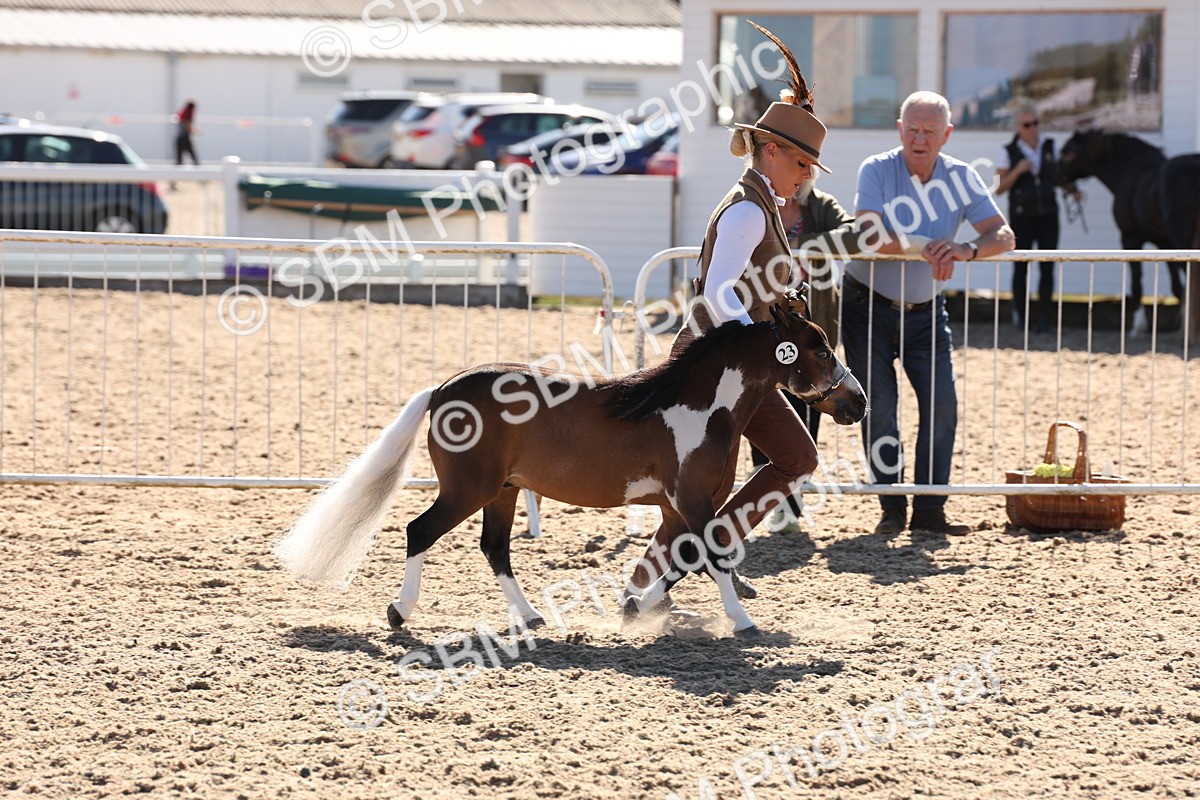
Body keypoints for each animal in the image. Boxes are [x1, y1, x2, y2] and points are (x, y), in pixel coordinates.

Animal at [273, 298, 867, 638]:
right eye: (818, 349)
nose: (857, 403)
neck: (700, 409)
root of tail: (443, 389)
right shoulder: (692, 501)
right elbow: (714, 556)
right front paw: (743, 623)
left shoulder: (679, 507)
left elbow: (684, 558)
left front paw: (637, 606)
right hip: (468, 489)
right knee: (419, 531)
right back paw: (400, 613)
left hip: (504, 491)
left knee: (495, 548)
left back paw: (532, 618)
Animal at [1056, 129, 1200, 334]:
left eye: (1068, 153)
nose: (1055, 175)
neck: (1131, 173)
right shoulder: (1164, 243)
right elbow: (1177, 287)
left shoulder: (1130, 238)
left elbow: (1137, 283)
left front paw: (1137, 327)